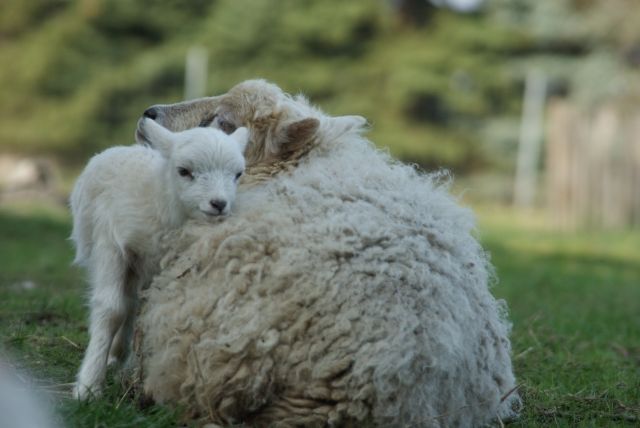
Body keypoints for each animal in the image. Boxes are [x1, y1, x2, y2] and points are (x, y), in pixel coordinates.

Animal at [70, 118, 249, 400]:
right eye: (184, 171)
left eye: (238, 174)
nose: (219, 204)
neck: (160, 203)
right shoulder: (111, 244)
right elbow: (110, 309)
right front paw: (88, 386)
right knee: (127, 301)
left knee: (133, 302)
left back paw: (120, 352)